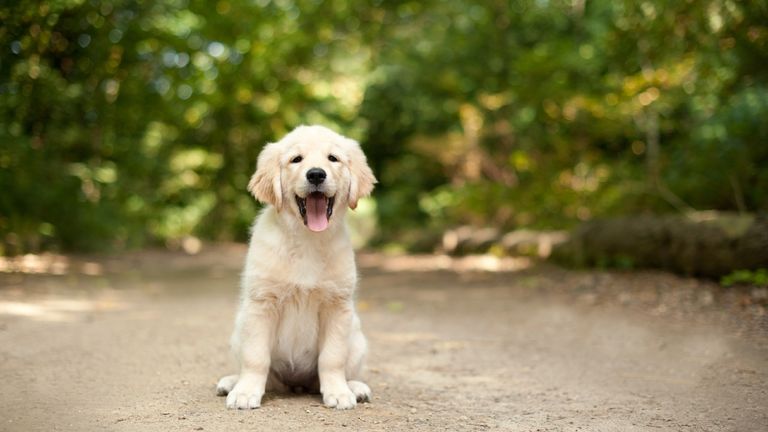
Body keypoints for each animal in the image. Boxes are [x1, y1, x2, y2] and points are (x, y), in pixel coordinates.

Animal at [214, 124, 376, 408]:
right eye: (296, 159)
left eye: (333, 158)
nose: (316, 174)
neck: (307, 239)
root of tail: (295, 384)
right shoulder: (261, 303)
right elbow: (256, 357)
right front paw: (245, 392)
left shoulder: (337, 305)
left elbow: (332, 358)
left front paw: (338, 392)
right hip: (239, 328)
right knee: (262, 375)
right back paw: (232, 382)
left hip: (357, 337)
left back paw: (355, 387)